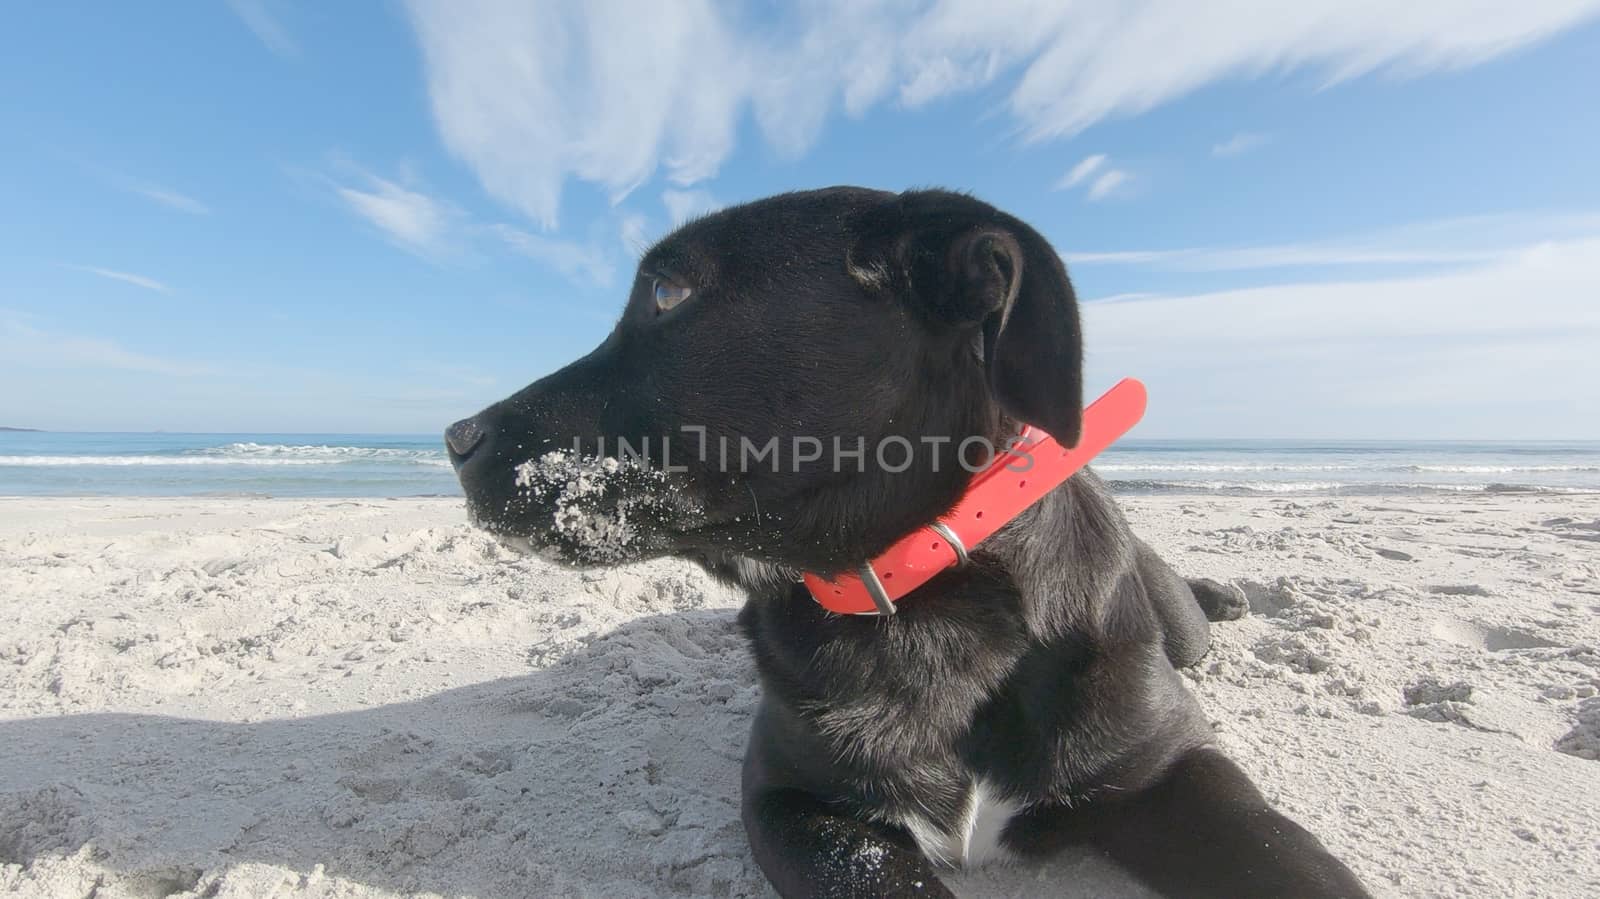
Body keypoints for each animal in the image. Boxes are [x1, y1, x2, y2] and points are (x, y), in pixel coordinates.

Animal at [444, 185, 1369, 889]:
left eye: (667, 294)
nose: (454, 437)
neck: (928, 606)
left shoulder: (1177, 766)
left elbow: (1295, 861)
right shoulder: (796, 804)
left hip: (1178, 629)